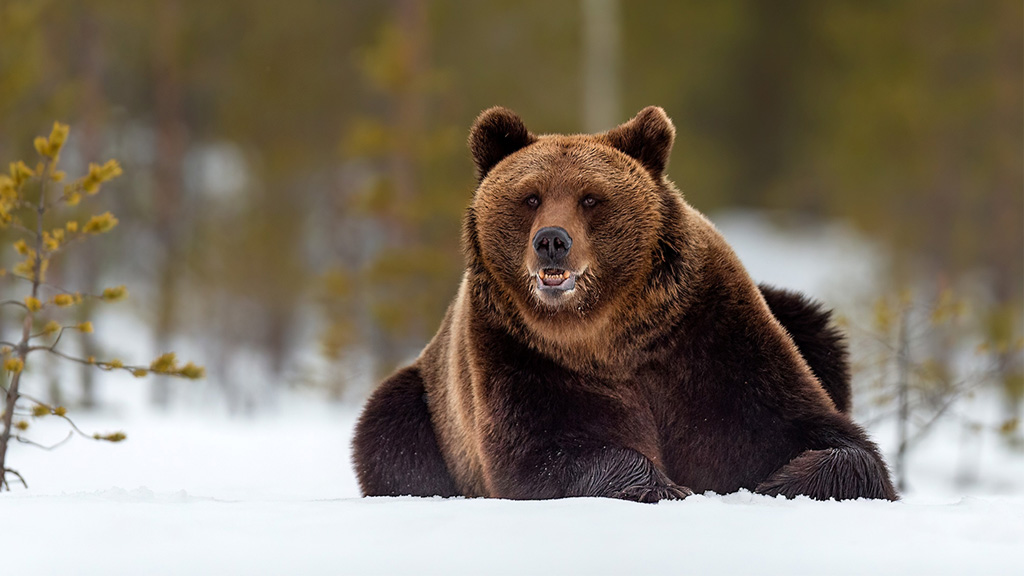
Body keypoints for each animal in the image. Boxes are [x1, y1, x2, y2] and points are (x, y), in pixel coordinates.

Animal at [351, 106, 896, 502]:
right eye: (531, 197)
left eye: (591, 198)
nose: (552, 241)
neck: (611, 334)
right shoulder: (523, 356)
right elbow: (547, 454)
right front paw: (666, 487)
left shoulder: (711, 339)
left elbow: (817, 434)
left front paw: (775, 482)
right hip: (426, 399)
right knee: (387, 431)